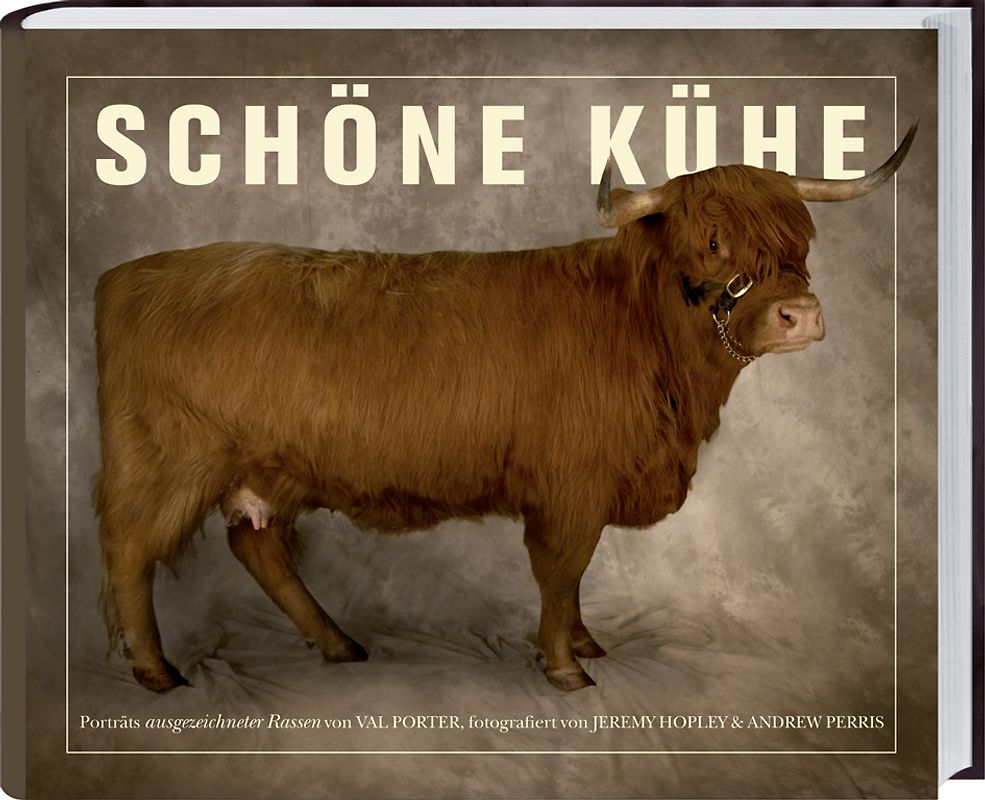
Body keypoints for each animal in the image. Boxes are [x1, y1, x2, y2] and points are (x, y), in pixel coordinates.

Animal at [94, 124, 916, 693]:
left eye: (801, 238)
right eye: (712, 242)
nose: (800, 316)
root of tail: (132, 275)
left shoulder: (587, 487)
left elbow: (575, 577)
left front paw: (583, 644)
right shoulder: (570, 486)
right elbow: (560, 569)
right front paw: (565, 668)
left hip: (268, 470)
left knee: (257, 547)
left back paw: (338, 644)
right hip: (166, 463)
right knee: (131, 550)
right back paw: (156, 672)